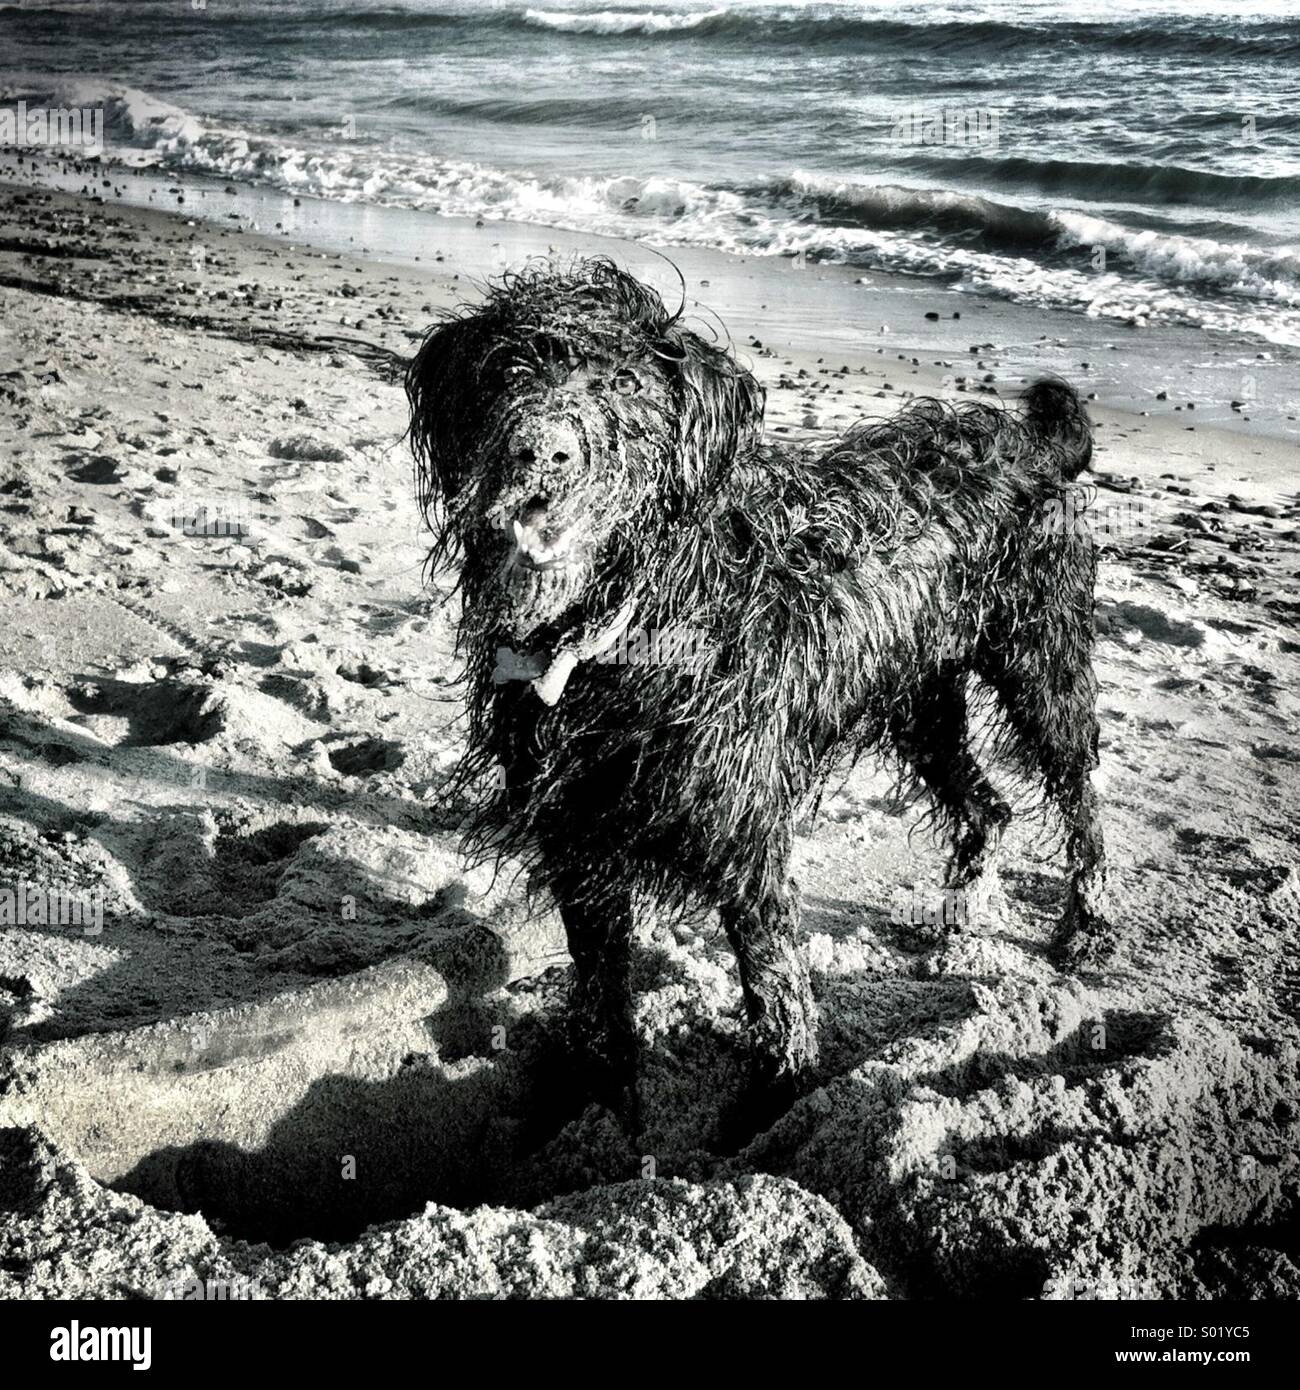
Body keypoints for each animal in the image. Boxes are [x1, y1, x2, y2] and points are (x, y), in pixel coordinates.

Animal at [405, 261, 1106, 1123]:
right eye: (508, 370)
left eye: (628, 383)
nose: (541, 452)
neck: (620, 628)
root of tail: (1025, 442)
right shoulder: (577, 837)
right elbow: (601, 985)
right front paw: (600, 1096)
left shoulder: (744, 835)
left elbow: (776, 987)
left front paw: (774, 1107)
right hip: (920, 698)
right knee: (987, 806)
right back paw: (952, 926)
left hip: (1041, 664)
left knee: (1078, 794)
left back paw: (1085, 924)